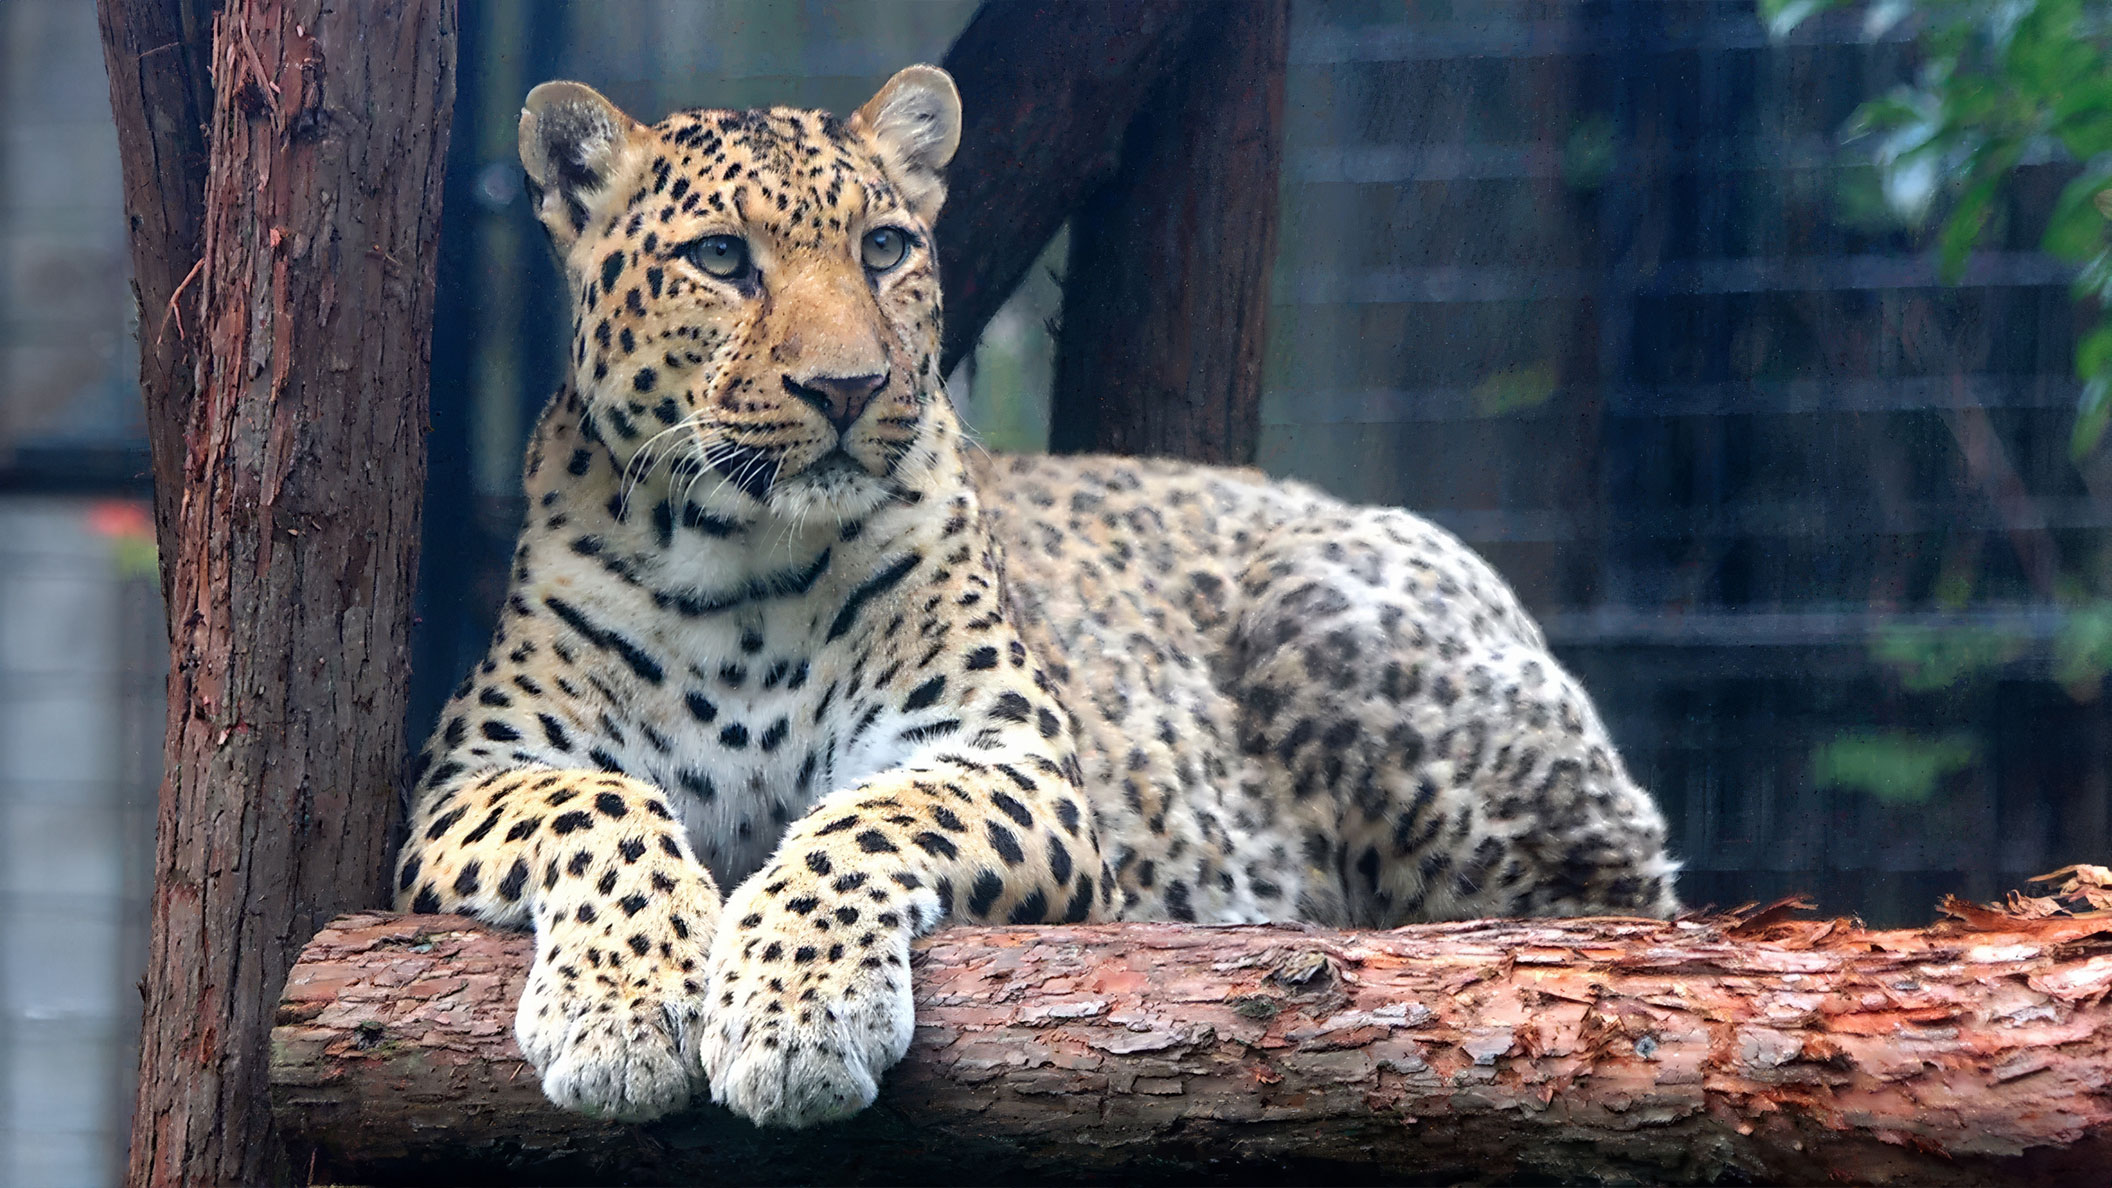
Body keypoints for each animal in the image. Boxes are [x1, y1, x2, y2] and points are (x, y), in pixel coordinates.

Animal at [397, 64, 1681, 1124]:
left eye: (884, 248)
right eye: (720, 260)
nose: (849, 388)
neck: (746, 565)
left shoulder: (1009, 758)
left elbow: (859, 827)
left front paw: (793, 1019)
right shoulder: (472, 772)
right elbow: (598, 808)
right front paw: (621, 1018)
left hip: (1340, 626)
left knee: (1615, 902)